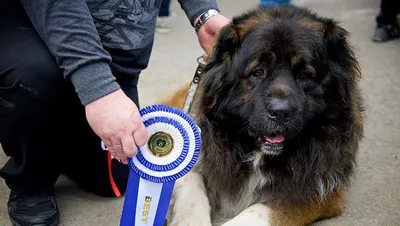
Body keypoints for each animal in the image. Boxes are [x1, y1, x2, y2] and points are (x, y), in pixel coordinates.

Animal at [162, 5, 362, 226]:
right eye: (258, 72)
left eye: (304, 75)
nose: (281, 112)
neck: (257, 153)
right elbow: (191, 186)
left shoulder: (320, 191)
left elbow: (258, 210)